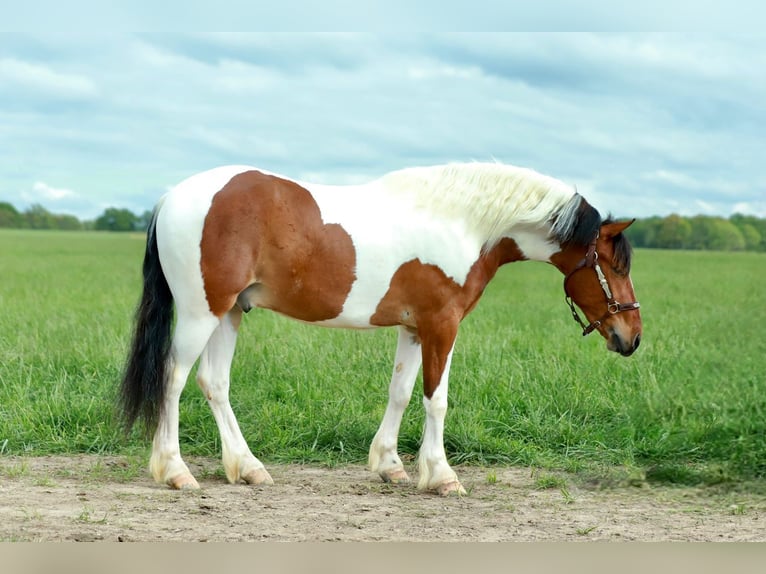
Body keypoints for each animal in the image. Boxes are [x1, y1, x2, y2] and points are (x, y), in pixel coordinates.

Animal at [119, 162, 642, 496]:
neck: (462, 226)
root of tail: (171, 198)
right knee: (173, 379)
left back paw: (248, 469)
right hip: (200, 312)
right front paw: (442, 476)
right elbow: (437, 399)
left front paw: (391, 467)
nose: (631, 337)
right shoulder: (441, 326)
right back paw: (175, 472)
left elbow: (401, 392)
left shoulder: (413, 329)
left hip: (229, 313)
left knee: (214, 383)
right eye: (615, 265)